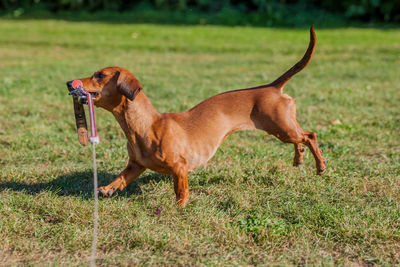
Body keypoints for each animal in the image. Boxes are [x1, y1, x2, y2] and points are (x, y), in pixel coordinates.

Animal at [67, 26, 324, 208]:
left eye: (100, 75)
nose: (70, 82)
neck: (147, 126)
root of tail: (272, 87)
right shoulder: (136, 165)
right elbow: (122, 177)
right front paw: (108, 188)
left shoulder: (180, 167)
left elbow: (181, 190)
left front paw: (180, 206)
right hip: (285, 127)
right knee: (301, 139)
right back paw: (299, 159)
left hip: (281, 128)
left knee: (309, 136)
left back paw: (320, 165)